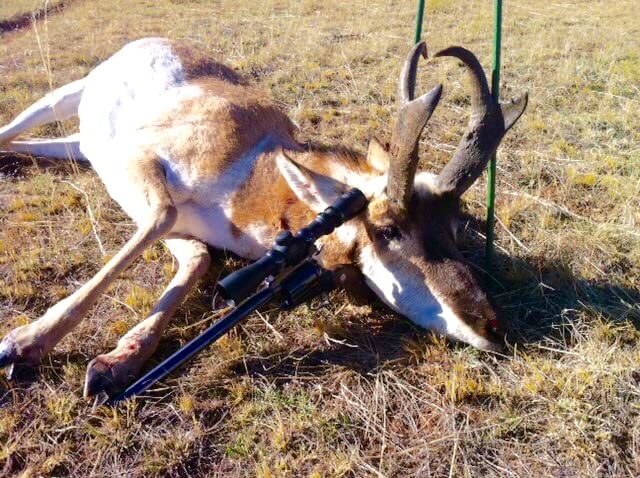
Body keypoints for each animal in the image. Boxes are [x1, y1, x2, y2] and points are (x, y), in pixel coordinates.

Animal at [0, 37, 524, 398]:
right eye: (388, 229)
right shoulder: (141, 166)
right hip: (67, 96)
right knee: (14, 128)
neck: (256, 168)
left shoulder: (177, 222)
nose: (493, 327)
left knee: (33, 144)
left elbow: (196, 260)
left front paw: (116, 363)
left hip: (81, 145)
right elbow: (163, 218)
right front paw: (22, 343)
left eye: (454, 231)